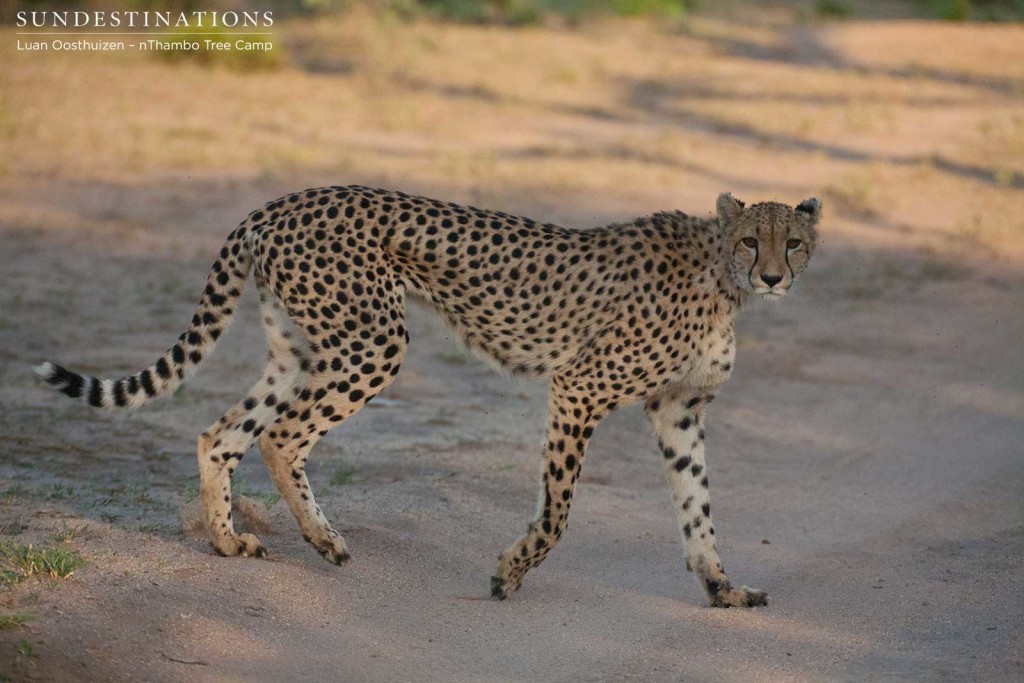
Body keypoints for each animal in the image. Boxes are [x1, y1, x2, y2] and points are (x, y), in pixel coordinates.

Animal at [32, 184, 819, 606]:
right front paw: (509, 573)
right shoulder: (580, 388)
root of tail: (284, 201)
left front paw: (722, 588)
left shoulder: (678, 410)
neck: (723, 278)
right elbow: (559, 509)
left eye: (794, 242)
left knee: (221, 432)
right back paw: (321, 538)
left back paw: (229, 540)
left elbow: (698, 509)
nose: (775, 275)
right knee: (280, 436)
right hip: (373, 340)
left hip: (301, 348)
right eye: (751, 240)